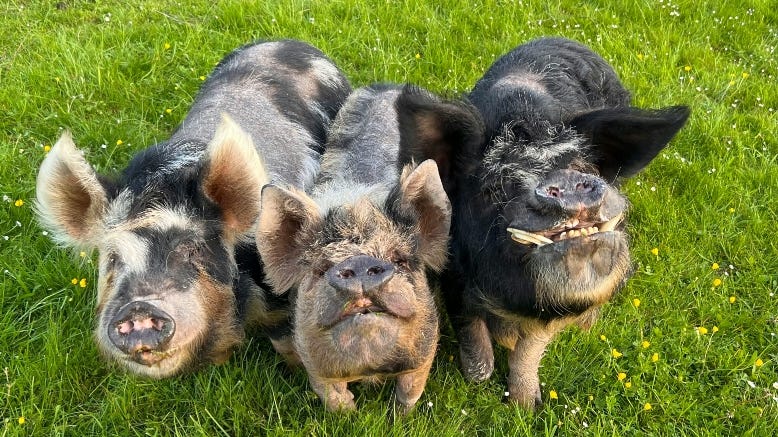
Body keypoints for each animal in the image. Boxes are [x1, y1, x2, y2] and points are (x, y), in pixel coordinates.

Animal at [255, 84, 467, 414]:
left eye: (399, 259)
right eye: (320, 269)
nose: (359, 264)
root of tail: (388, 84)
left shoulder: (425, 350)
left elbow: (410, 390)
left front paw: (399, 417)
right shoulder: (314, 365)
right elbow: (333, 398)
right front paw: (349, 416)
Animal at [396, 37, 689, 409]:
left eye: (583, 167)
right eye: (495, 187)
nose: (567, 178)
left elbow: (530, 347)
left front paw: (526, 405)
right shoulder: (451, 272)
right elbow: (470, 331)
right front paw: (481, 375)